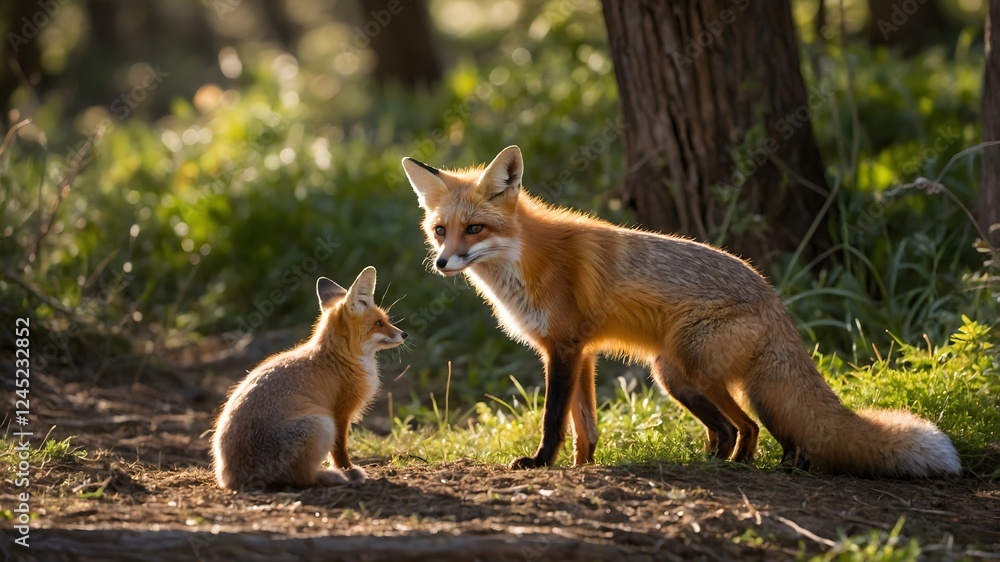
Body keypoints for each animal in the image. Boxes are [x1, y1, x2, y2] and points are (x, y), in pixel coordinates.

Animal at [212, 267, 407, 489]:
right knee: (303, 477)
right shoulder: (340, 414)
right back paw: (335, 477)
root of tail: (233, 478)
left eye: (385, 320)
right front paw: (347, 469)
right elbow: (340, 450)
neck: (339, 358)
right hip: (322, 423)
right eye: (379, 323)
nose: (404, 334)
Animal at [401, 145, 961, 479]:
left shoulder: (562, 348)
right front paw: (583, 469)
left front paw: (541, 463)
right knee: (736, 428)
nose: (443, 262)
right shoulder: (581, 352)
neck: (527, 260)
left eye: (474, 229)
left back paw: (741, 467)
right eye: (440, 230)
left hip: (688, 369)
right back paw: (722, 462)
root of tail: (775, 299)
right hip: (678, 376)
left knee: (747, 427)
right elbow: (586, 426)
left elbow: (553, 420)